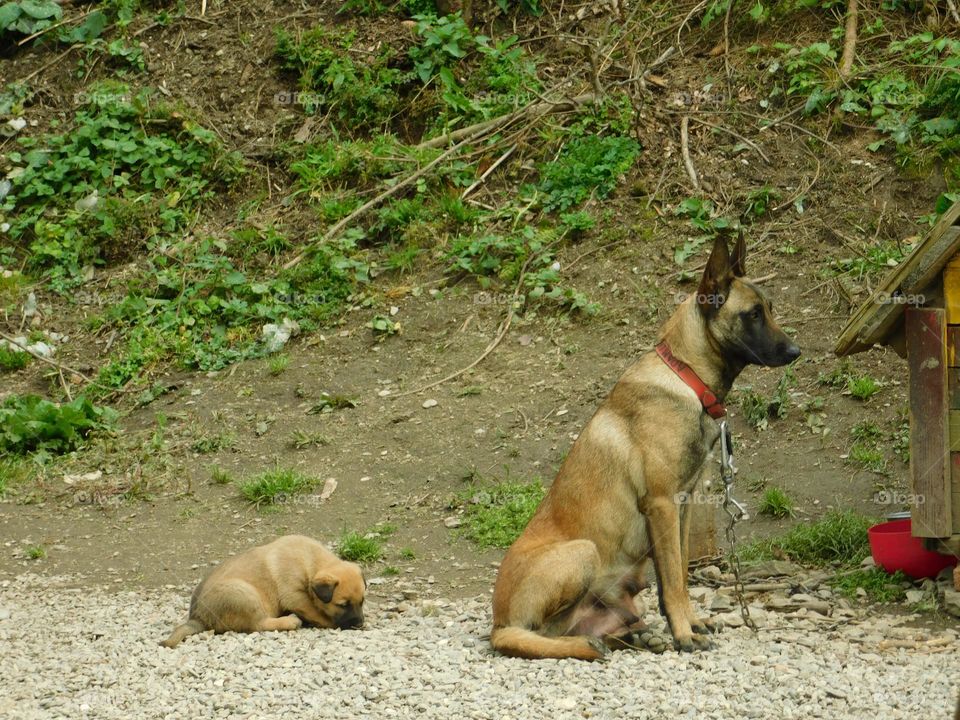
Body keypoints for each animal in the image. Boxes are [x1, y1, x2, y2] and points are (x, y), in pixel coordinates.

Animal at [161, 536, 364, 648]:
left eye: (362, 601)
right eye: (342, 605)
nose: (360, 624)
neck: (310, 560)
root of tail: (198, 617)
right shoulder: (295, 596)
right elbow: (316, 612)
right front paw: (331, 623)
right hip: (244, 594)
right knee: (257, 624)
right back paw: (290, 621)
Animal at [492, 233, 800, 660]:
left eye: (770, 309)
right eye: (753, 314)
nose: (796, 352)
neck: (686, 376)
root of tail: (496, 621)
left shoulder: (684, 507)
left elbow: (681, 573)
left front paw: (689, 623)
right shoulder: (661, 505)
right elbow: (671, 580)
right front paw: (684, 634)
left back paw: (633, 637)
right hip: (582, 552)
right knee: (533, 635)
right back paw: (592, 643)